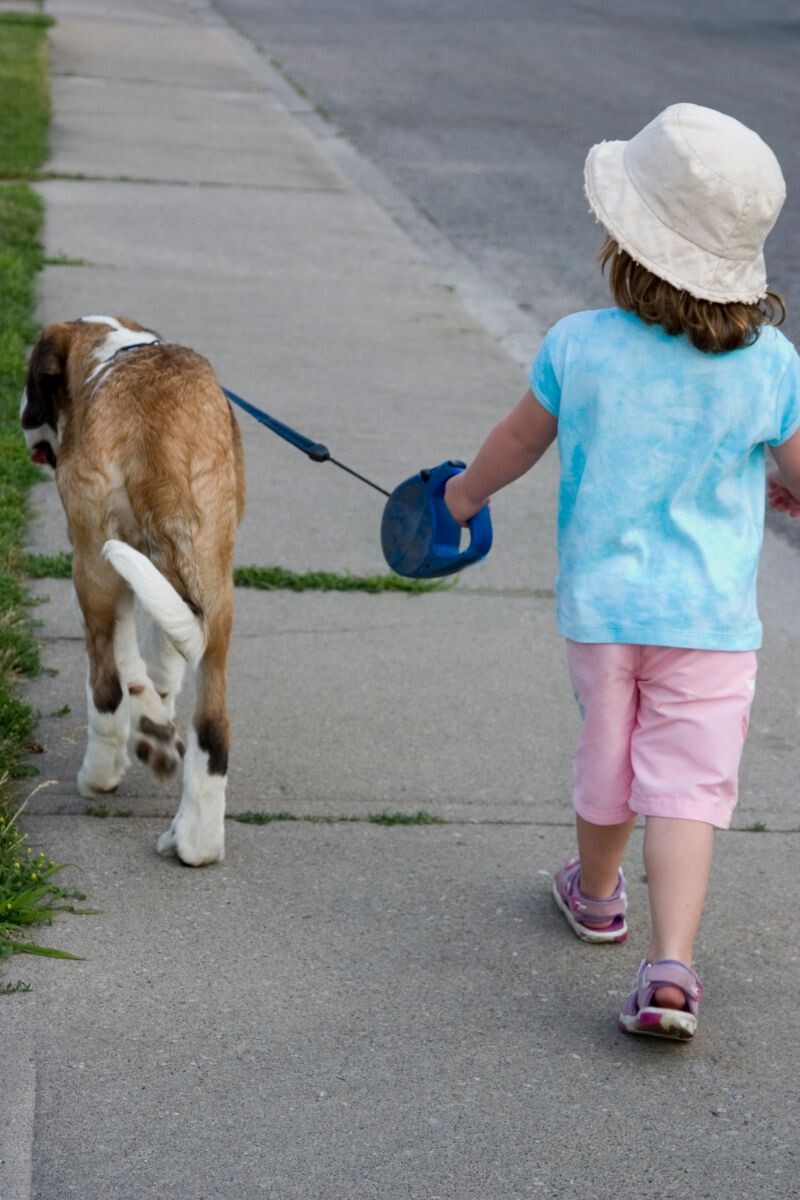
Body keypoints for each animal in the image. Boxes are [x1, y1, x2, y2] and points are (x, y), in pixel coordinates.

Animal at [22, 316, 247, 864]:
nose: (22, 418)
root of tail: (158, 436)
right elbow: (162, 648)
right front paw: (156, 714)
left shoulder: (97, 556)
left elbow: (125, 661)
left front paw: (148, 717)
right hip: (215, 575)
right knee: (213, 722)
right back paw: (193, 843)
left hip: (93, 563)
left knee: (105, 684)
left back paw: (98, 777)